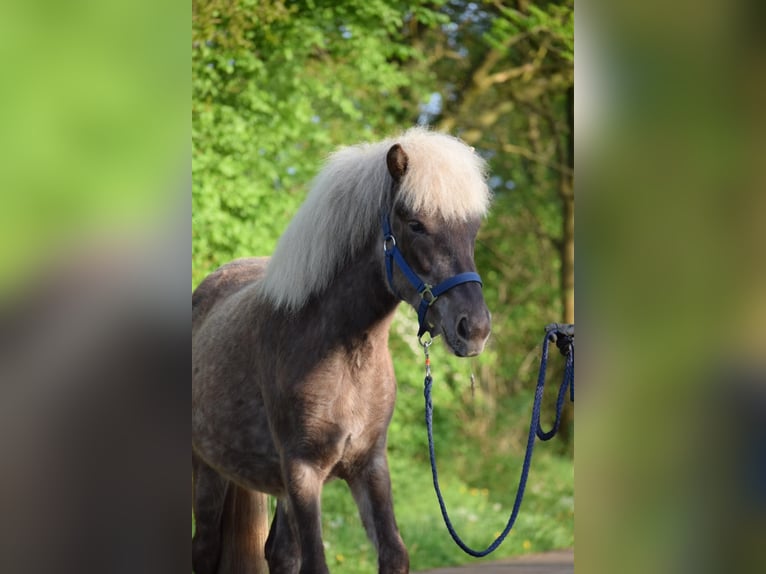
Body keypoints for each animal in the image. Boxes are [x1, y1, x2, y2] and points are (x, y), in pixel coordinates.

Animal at [190, 128, 492, 572]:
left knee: (279, 552)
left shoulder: (370, 466)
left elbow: (393, 552)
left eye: (473, 229)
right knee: (206, 550)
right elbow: (317, 562)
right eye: (416, 224)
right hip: (210, 470)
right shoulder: (303, 471)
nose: (475, 329)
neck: (343, 352)